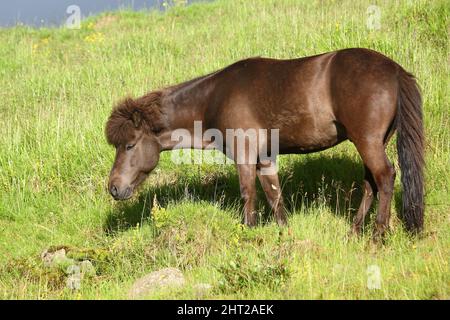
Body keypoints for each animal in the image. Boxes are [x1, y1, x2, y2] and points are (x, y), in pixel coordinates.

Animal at [106, 48, 426, 240]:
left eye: (129, 145)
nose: (113, 188)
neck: (214, 98)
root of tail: (394, 70)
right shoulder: (265, 159)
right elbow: (275, 198)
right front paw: (285, 235)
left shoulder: (245, 156)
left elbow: (249, 196)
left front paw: (248, 236)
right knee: (371, 184)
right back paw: (354, 232)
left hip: (367, 141)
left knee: (385, 177)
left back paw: (378, 235)